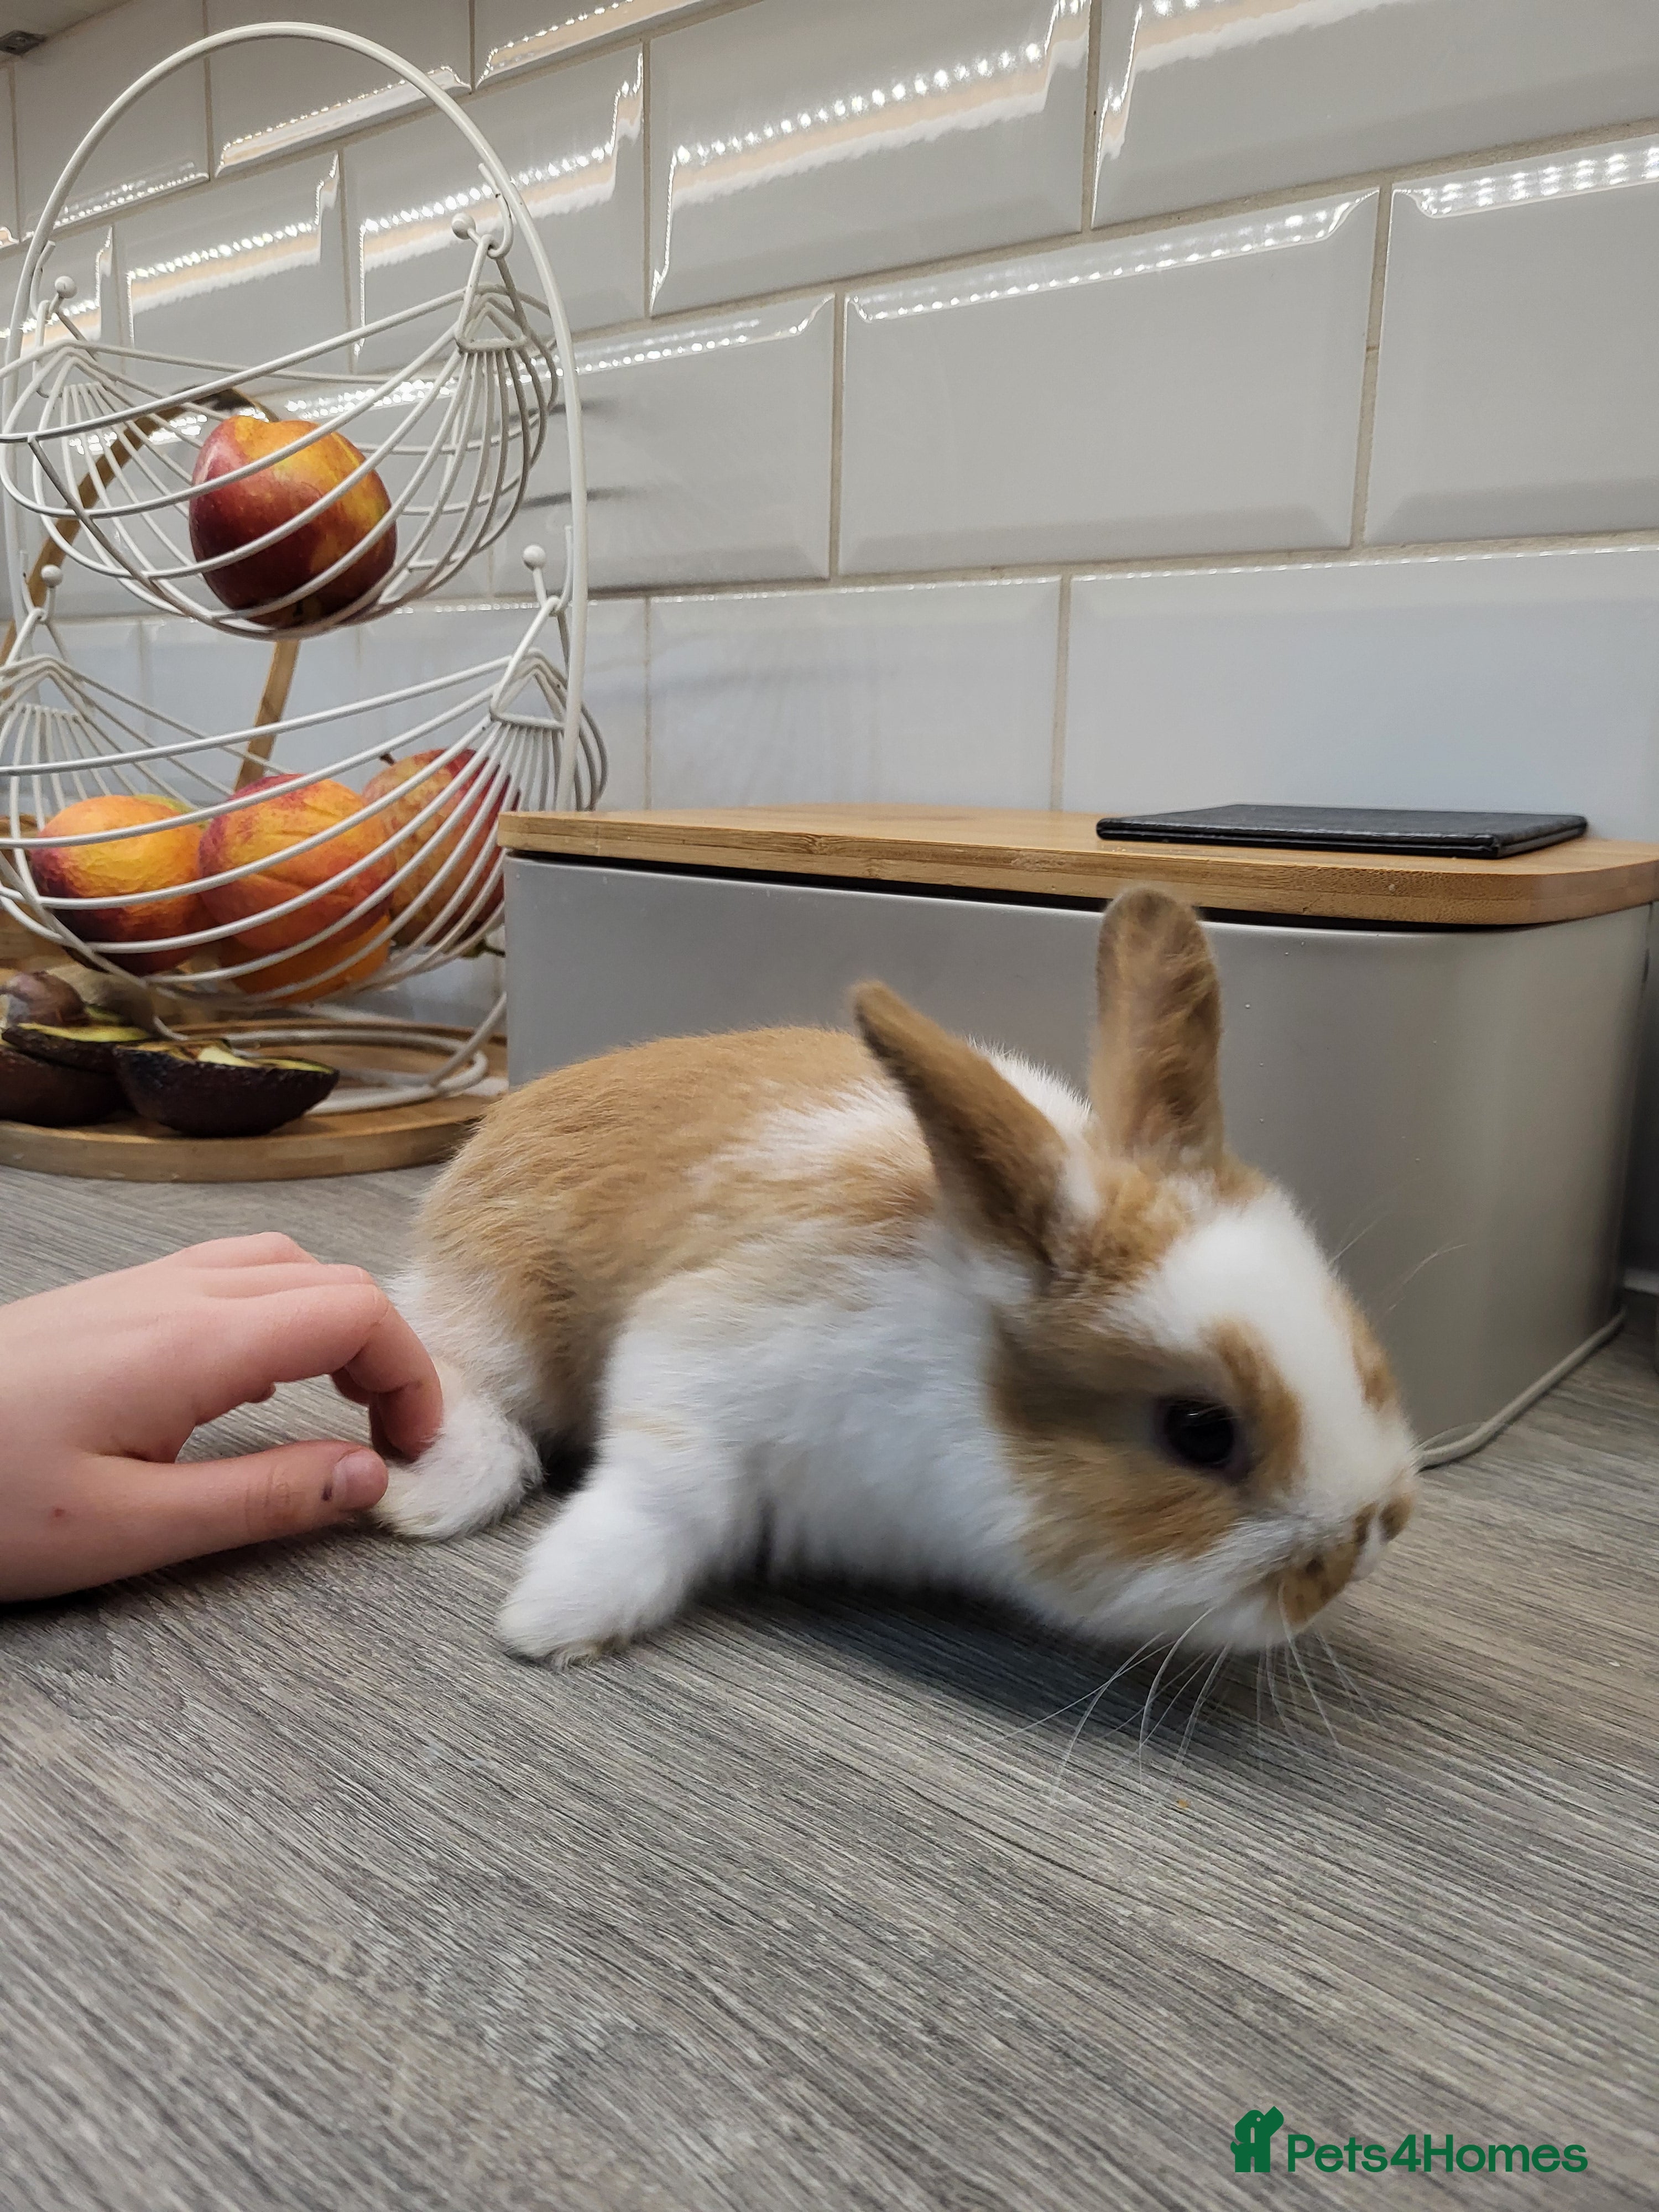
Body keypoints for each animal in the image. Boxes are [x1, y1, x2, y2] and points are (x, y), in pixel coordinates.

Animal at [377, 885, 1417, 1664]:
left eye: (1361, 1347)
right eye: (1199, 1431)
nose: (1369, 1542)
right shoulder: (695, 1367)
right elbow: (661, 1497)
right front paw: (552, 1620)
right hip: (500, 1311)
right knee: (451, 1377)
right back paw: (424, 1498)